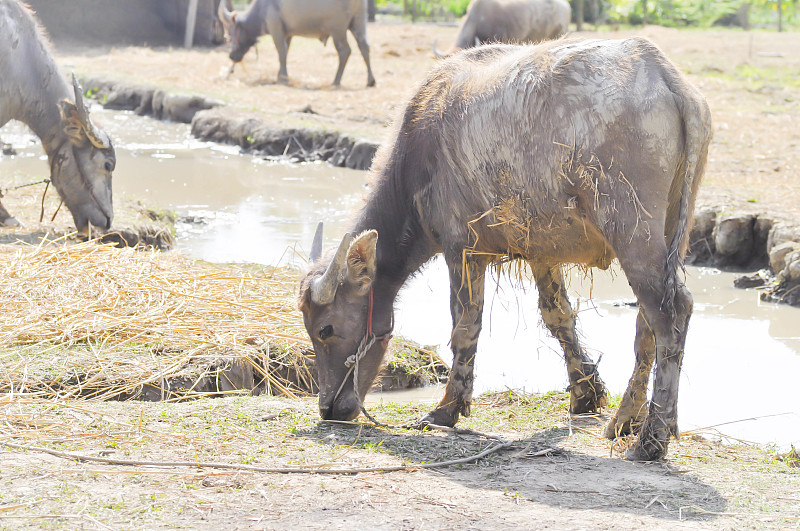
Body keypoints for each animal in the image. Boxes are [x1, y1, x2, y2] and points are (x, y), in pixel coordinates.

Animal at [217, 0, 376, 87]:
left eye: (230, 34)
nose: (231, 56)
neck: (263, 7)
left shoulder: (276, 29)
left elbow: (281, 52)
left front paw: (282, 78)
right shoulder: (288, 34)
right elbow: (285, 53)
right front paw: (281, 76)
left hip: (338, 29)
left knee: (344, 51)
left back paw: (336, 81)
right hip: (358, 22)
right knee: (364, 47)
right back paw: (370, 81)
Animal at [300, 37, 712, 462]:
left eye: (325, 329)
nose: (329, 408)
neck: (420, 147)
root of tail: (662, 73)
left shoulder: (462, 250)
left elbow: (465, 325)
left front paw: (446, 409)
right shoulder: (542, 253)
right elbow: (558, 316)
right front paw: (586, 393)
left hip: (632, 231)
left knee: (669, 313)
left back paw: (652, 438)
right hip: (672, 234)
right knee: (648, 323)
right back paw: (625, 420)